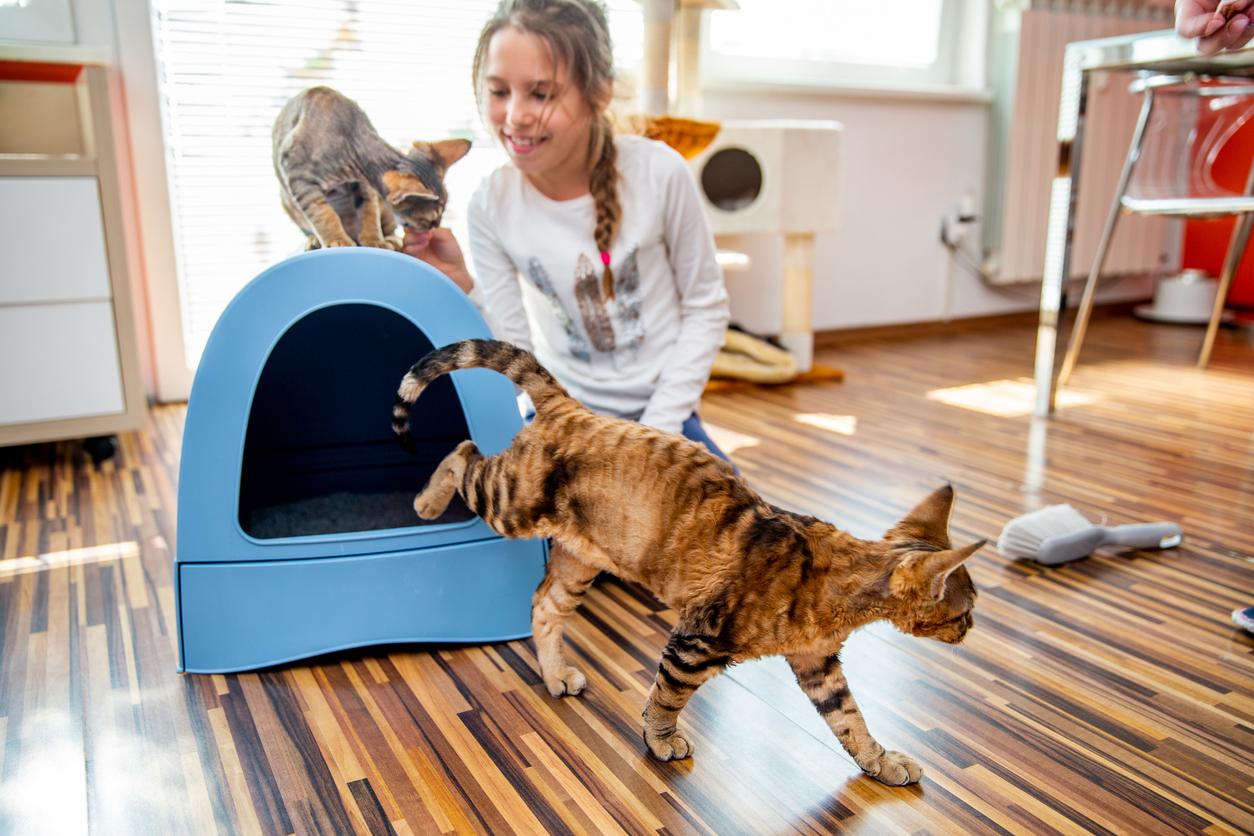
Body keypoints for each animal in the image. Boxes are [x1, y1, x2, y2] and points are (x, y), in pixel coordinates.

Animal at [273, 88, 471, 253]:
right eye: (428, 220)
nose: (435, 227)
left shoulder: (365, 186)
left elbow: (369, 213)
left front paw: (374, 240)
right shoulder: (299, 176)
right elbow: (323, 213)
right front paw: (336, 239)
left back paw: (390, 239)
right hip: (288, 203)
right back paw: (314, 239)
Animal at [396, 338, 983, 787]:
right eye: (965, 609)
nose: (972, 629)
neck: (837, 580)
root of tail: (572, 407)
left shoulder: (818, 665)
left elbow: (851, 722)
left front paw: (881, 762)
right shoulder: (696, 640)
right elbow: (665, 697)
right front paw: (661, 742)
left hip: (579, 560)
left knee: (544, 605)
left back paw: (555, 673)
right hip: (512, 500)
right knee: (463, 453)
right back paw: (425, 502)